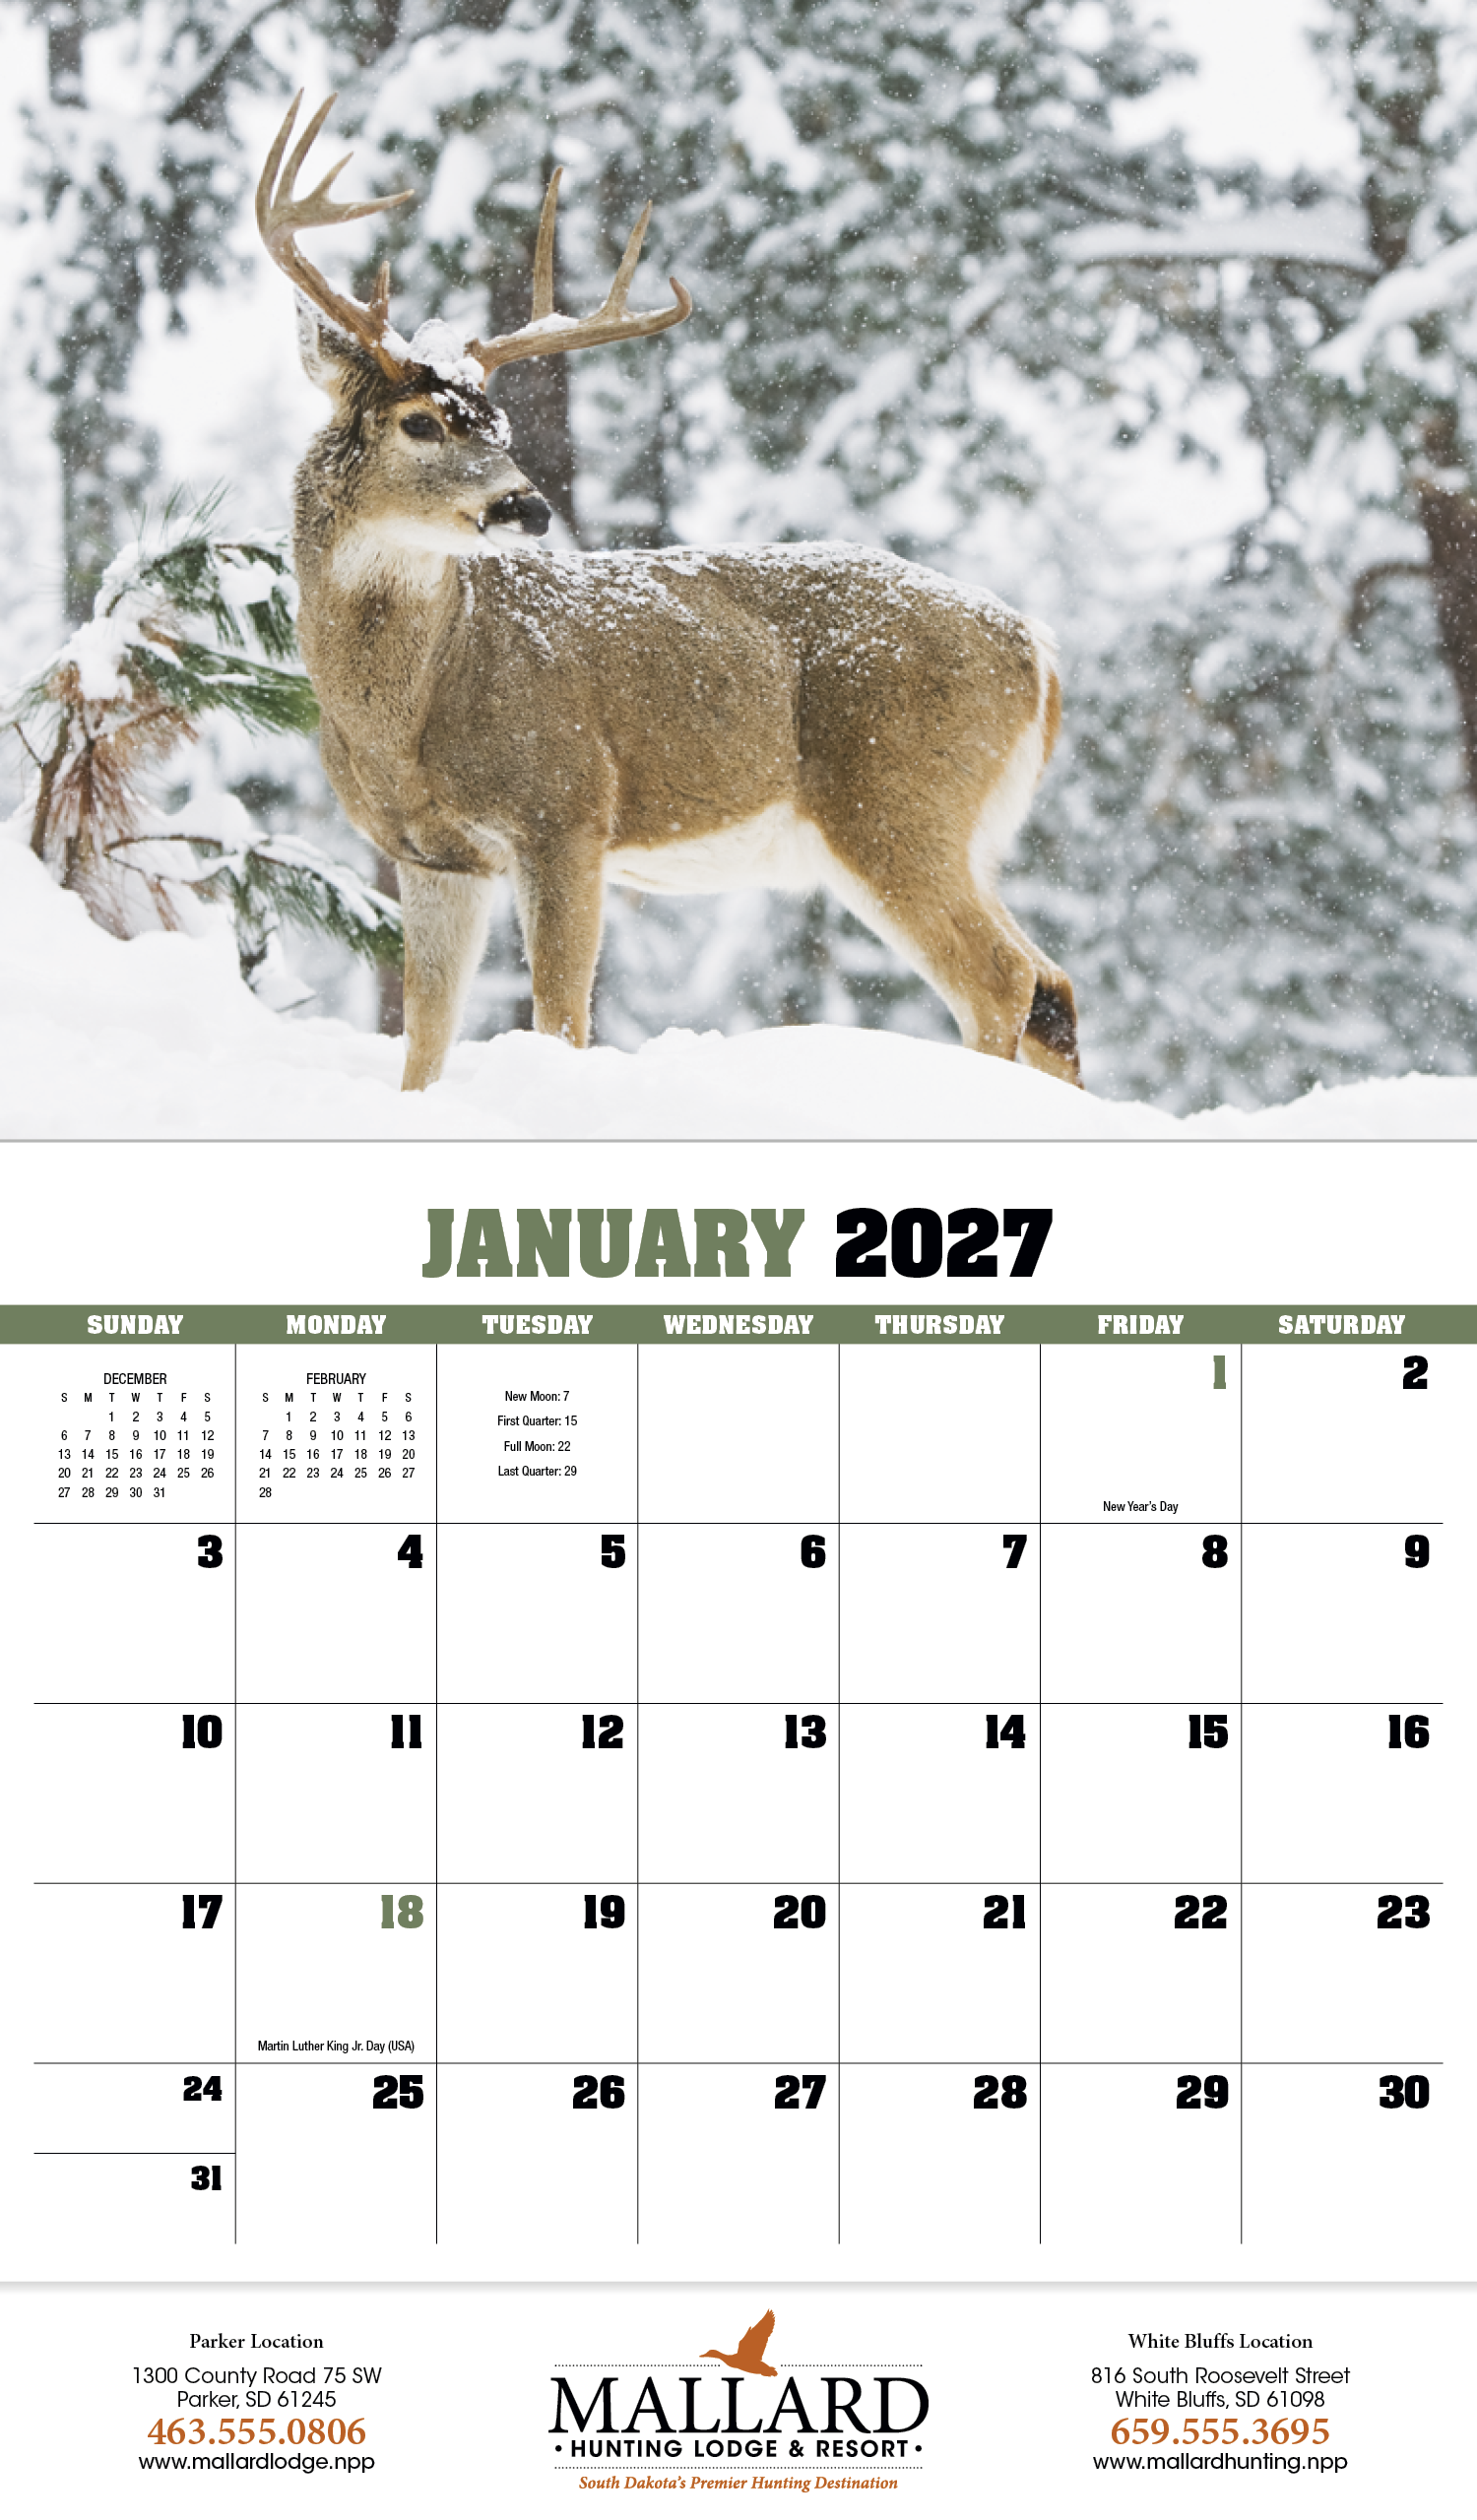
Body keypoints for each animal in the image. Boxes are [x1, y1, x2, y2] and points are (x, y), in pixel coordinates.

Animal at [257, 95, 1080, 1092]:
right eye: (419, 422)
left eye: (499, 424)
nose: (528, 505)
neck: (407, 715)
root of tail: (1035, 647)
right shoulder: (431, 855)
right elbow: (424, 1045)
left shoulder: (567, 810)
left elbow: (561, 1020)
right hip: (957, 828)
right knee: (1051, 987)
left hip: (899, 797)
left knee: (1003, 981)